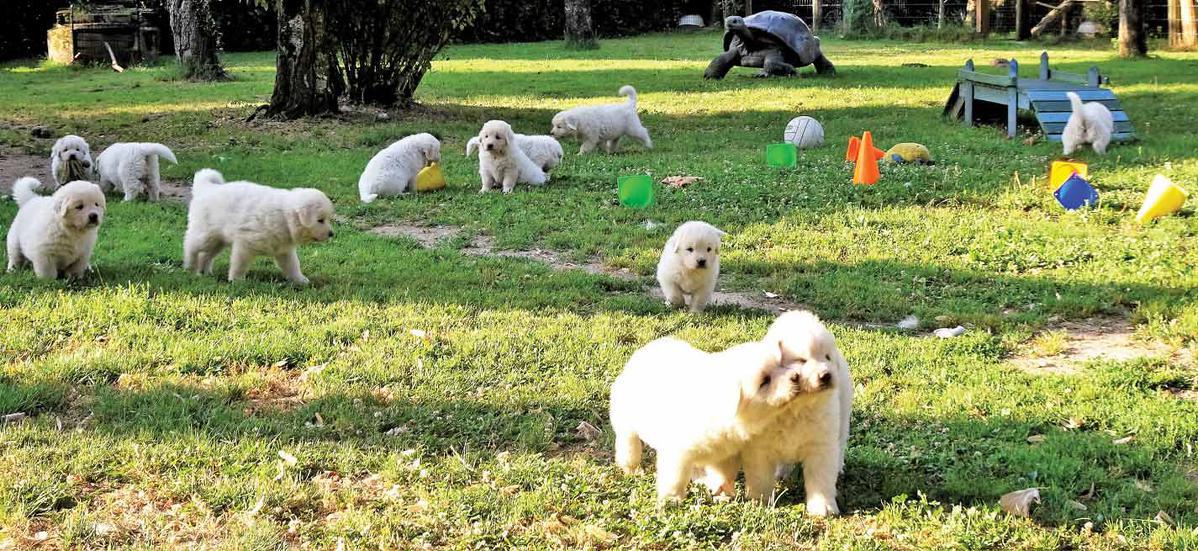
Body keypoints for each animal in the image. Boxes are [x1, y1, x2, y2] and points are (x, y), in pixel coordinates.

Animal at [186, 168, 337, 286]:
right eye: (320, 220)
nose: (331, 233)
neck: (284, 217)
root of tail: (207, 189)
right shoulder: (244, 244)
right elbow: (239, 264)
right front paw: (236, 280)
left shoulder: (284, 250)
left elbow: (293, 265)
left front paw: (300, 280)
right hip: (205, 234)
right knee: (191, 246)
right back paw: (190, 267)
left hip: (217, 240)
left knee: (206, 255)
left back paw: (204, 272)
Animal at [613, 335, 800, 503]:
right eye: (764, 381)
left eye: (781, 364)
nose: (796, 376)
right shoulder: (678, 453)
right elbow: (676, 479)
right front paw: (672, 499)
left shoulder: (724, 453)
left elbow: (723, 475)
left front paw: (723, 493)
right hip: (626, 425)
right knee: (629, 447)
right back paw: (632, 470)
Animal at [699, 311, 857, 515]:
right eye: (802, 360)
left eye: (827, 357)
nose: (826, 375)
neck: (795, 408)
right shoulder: (760, 448)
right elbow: (761, 477)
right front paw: (761, 502)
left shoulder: (820, 444)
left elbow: (821, 479)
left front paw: (823, 508)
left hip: (843, 415)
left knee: (840, 443)